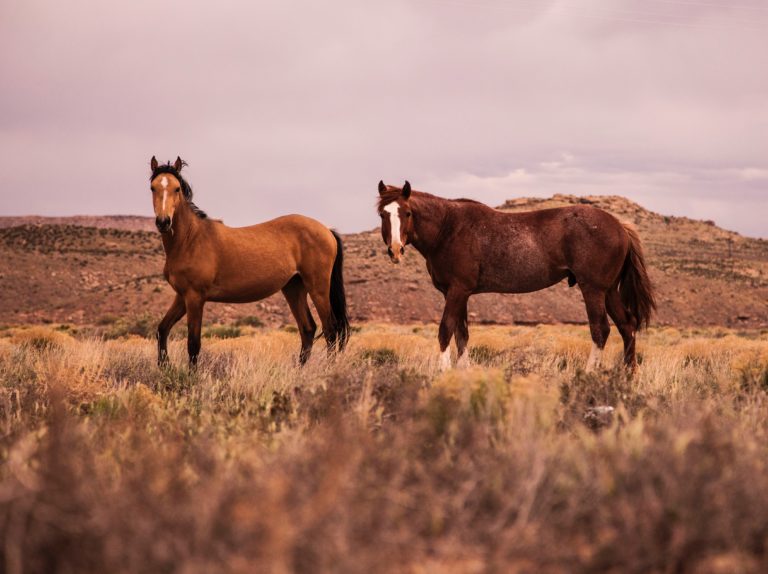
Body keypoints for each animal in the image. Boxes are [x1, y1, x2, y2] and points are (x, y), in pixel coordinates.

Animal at [149, 156, 349, 367]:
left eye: (177, 188)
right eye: (153, 188)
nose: (163, 222)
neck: (190, 239)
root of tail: (326, 230)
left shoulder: (195, 297)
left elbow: (193, 344)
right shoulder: (182, 296)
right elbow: (162, 329)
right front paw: (164, 366)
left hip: (318, 288)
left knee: (330, 330)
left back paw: (327, 369)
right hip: (294, 288)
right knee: (308, 329)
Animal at [376, 180, 656, 372]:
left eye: (407, 213)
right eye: (382, 214)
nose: (395, 250)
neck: (449, 228)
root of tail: (620, 226)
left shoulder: (457, 291)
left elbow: (445, 330)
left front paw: (443, 372)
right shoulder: (460, 294)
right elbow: (462, 334)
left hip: (593, 290)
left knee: (601, 330)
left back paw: (589, 374)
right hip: (608, 291)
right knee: (627, 326)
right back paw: (627, 376)